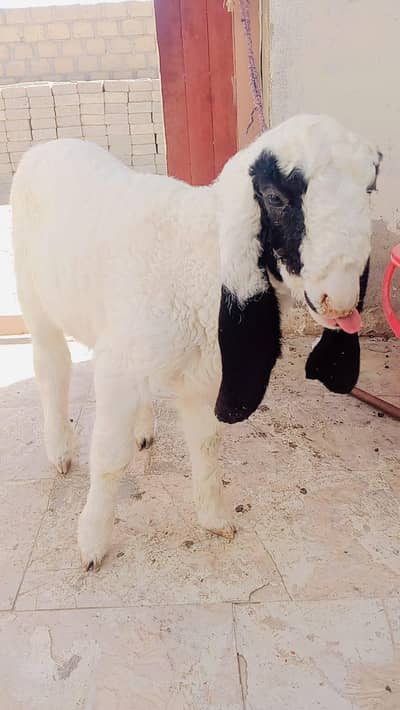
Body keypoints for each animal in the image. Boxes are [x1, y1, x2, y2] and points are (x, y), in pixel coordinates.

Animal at [11, 114, 381, 570]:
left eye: (369, 189)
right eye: (275, 198)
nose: (340, 301)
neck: (199, 258)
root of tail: (49, 146)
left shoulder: (200, 376)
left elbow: (207, 443)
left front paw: (214, 518)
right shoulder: (119, 369)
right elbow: (110, 458)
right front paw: (92, 542)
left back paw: (142, 431)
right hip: (34, 297)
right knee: (52, 367)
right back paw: (61, 449)